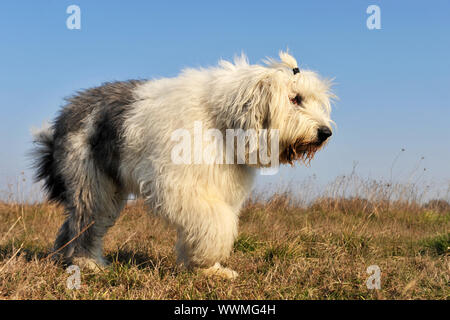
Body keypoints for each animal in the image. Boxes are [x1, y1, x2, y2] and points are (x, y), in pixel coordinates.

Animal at [32, 51, 334, 278]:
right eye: (295, 98)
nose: (325, 133)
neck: (220, 118)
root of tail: (66, 113)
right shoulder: (180, 184)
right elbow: (215, 221)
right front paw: (207, 260)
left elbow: (213, 221)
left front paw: (210, 269)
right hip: (91, 180)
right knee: (86, 221)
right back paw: (87, 263)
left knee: (76, 223)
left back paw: (63, 258)